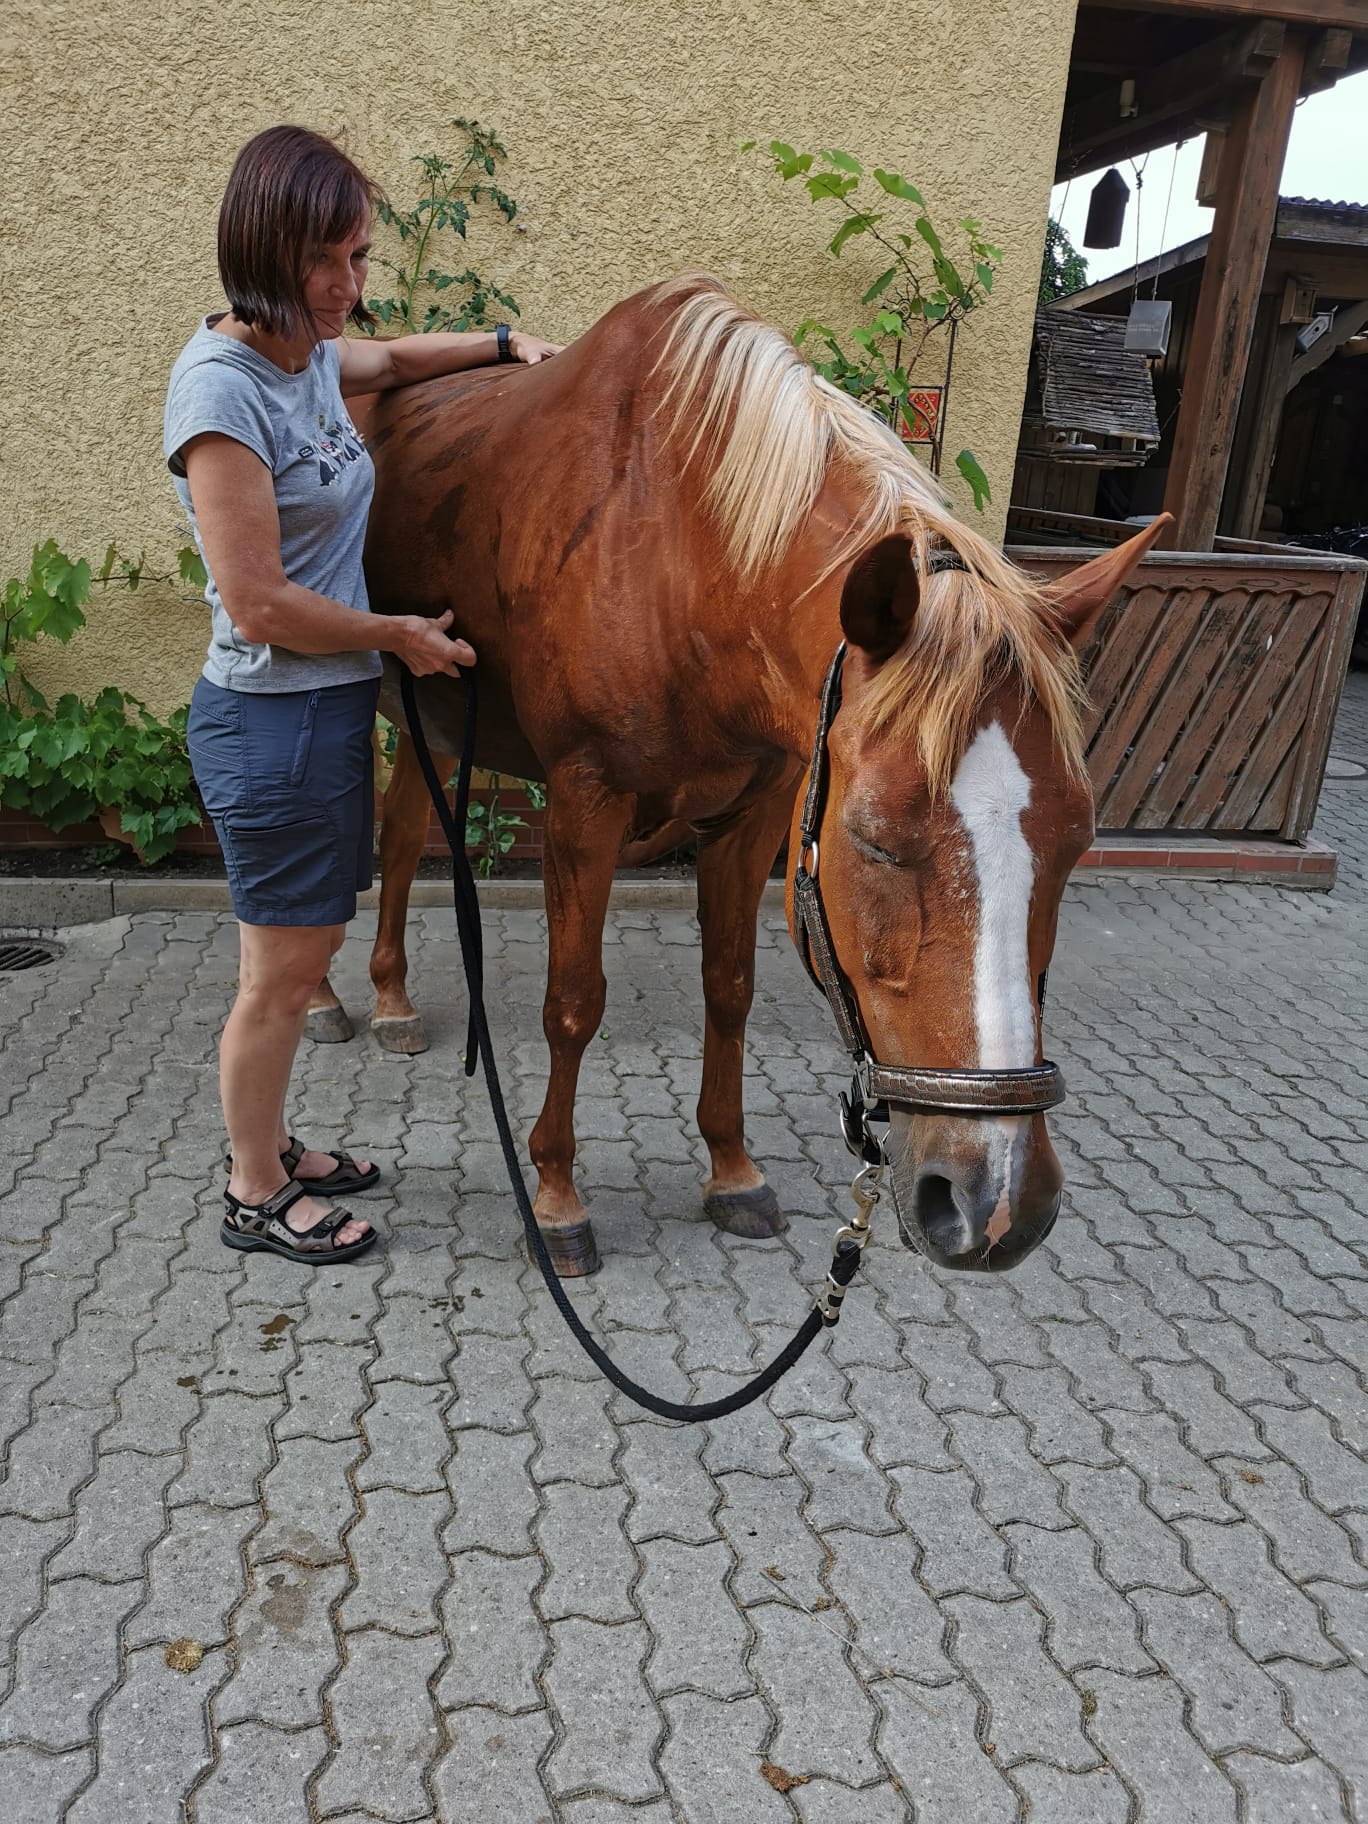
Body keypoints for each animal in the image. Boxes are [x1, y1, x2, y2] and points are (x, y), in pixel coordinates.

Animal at [307, 274, 1163, 1278]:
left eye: (1077, 841)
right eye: (875, 840)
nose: (996, 1206)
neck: (679, 549)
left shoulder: (755, 817)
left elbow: (730, 988)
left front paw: (732, 1170)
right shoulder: (586, 807)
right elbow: (573, 1003)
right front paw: (555, 1199)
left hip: (436, 713)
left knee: (405, 837)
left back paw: (392, 997)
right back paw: (327, 1000)